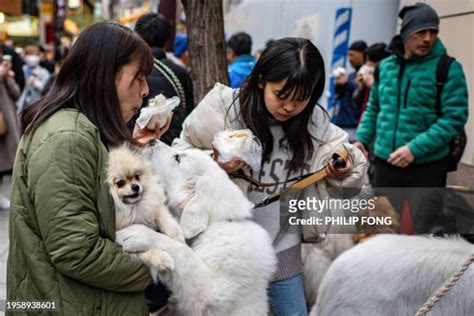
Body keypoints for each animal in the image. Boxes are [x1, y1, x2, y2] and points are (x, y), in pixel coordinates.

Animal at [115, 141, 278, 316]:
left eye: (178, 158)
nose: (152, 141)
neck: (217, 223)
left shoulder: (210, 293)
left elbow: (181, 251)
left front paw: (136, 234)